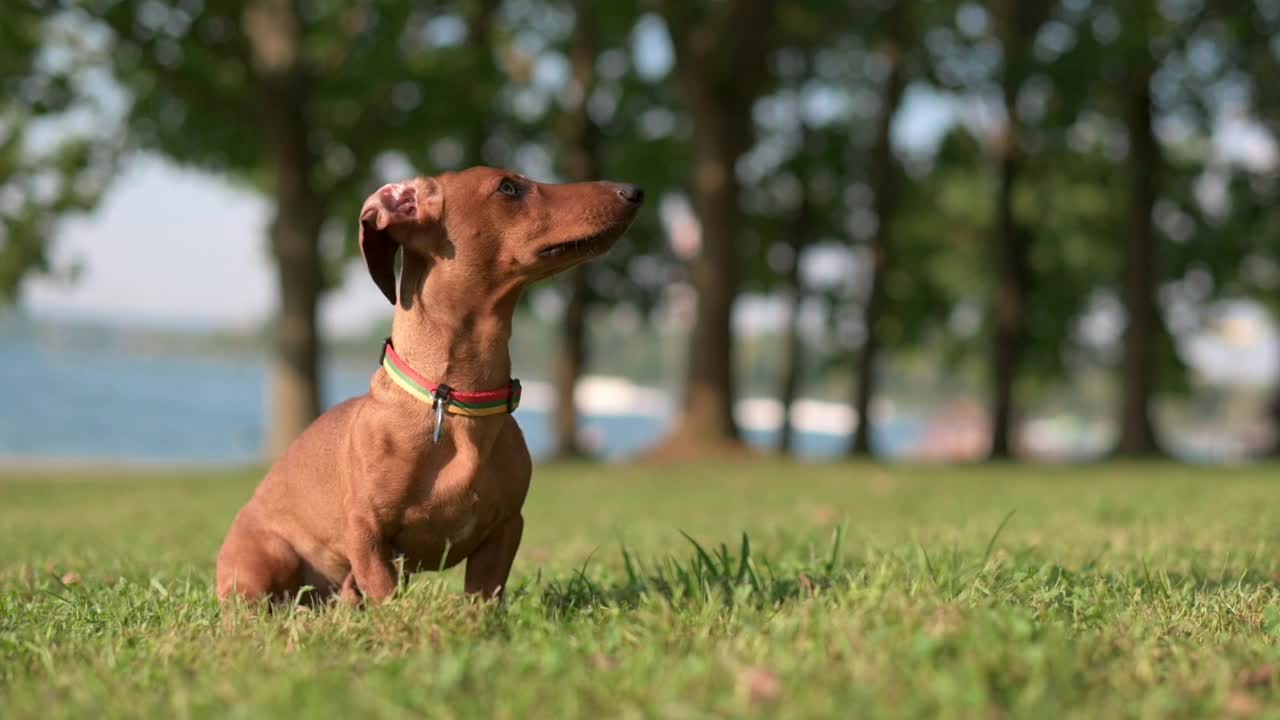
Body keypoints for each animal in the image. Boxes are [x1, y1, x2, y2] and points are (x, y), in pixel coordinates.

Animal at [217, 166, 650, 599]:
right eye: (508, 187)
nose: (634, 191)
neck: (457, 401)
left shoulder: (506, 528)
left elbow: (483, 595)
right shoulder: (367, 532)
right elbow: (385, 592)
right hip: (268, 558)